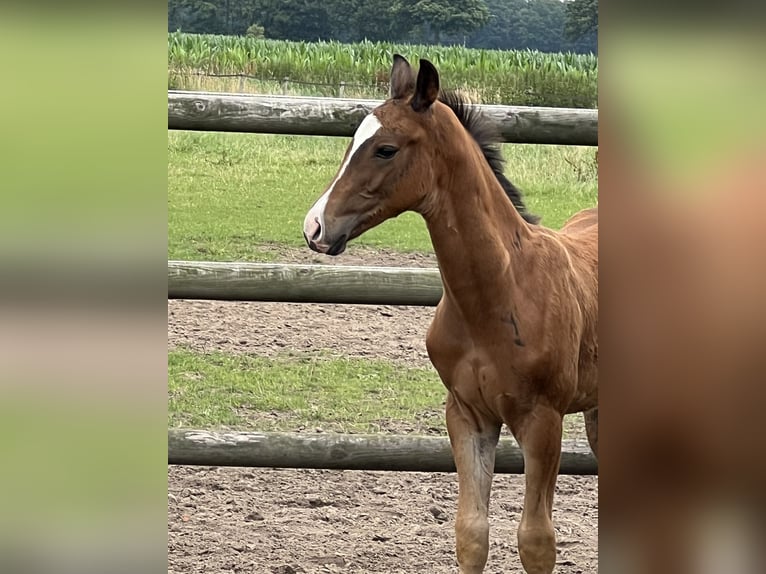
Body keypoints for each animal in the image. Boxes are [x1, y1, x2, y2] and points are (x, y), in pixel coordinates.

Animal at [302, 55, 600, 574]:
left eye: (385, 149)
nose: (314, 227)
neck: (503, 290)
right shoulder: (467, 415)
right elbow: (471, 533)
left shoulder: (544, 420)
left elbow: (536, 540)